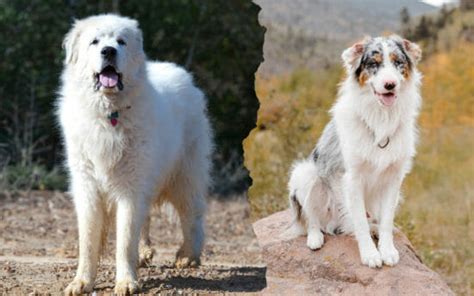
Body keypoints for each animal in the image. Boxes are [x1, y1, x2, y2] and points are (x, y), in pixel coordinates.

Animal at [57, 15, 211, 294]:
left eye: (121, 41)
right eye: (95, 41)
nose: (108, 51)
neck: (109, 114)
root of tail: (183, 74)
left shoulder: (131, 187)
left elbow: (125, 238)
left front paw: (126, 282)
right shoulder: (88, 186)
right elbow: (88, 239)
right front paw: (82, 281)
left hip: (185, 175)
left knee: (191, 215)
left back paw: (188, 256)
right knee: (147, 216)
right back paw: (145, 253)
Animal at [288, 35, 422, 268]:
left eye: (398, 62)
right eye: (373, 64)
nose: (390, 84)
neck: (380, 119)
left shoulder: (394, 178)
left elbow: (387, 220)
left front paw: (387, 250)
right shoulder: (352, 178)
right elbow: (359, 220)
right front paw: (370, 254)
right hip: (305, 174)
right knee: (312, 219)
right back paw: (315, 238)